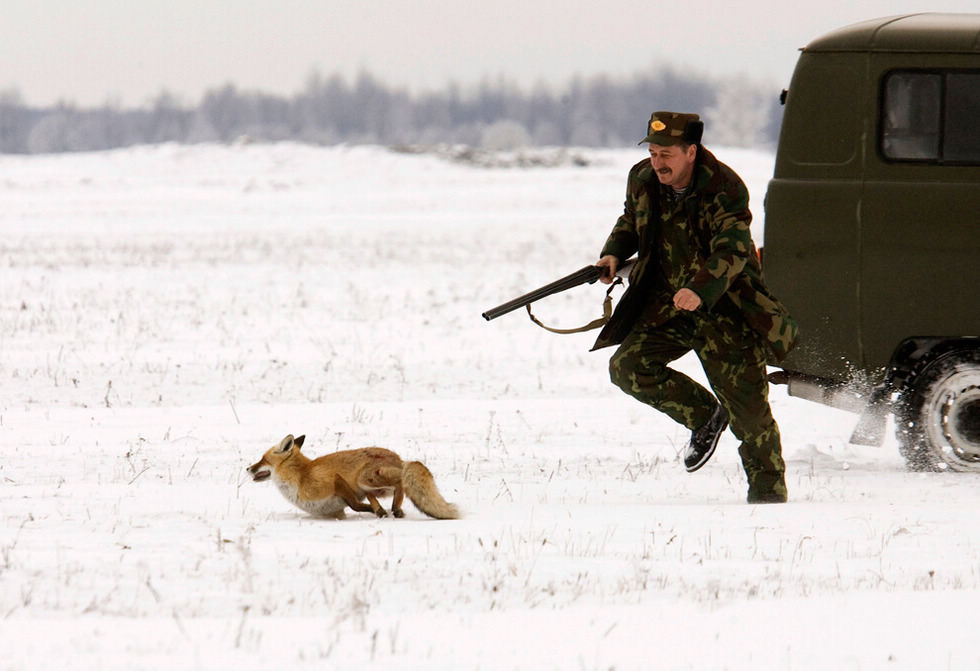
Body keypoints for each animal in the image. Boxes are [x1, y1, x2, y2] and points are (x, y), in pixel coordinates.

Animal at [245, 434, 460, 524]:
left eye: (262, 459)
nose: (247, 468)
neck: (300, 476)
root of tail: (399, 458)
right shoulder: (335, 513)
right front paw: (376, 511)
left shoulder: (333, 479)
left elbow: (355, 505)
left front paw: (371, 510)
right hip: (369, 485)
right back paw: (385, 509)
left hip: (363, 479)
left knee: (401, 482)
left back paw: (391, 509)